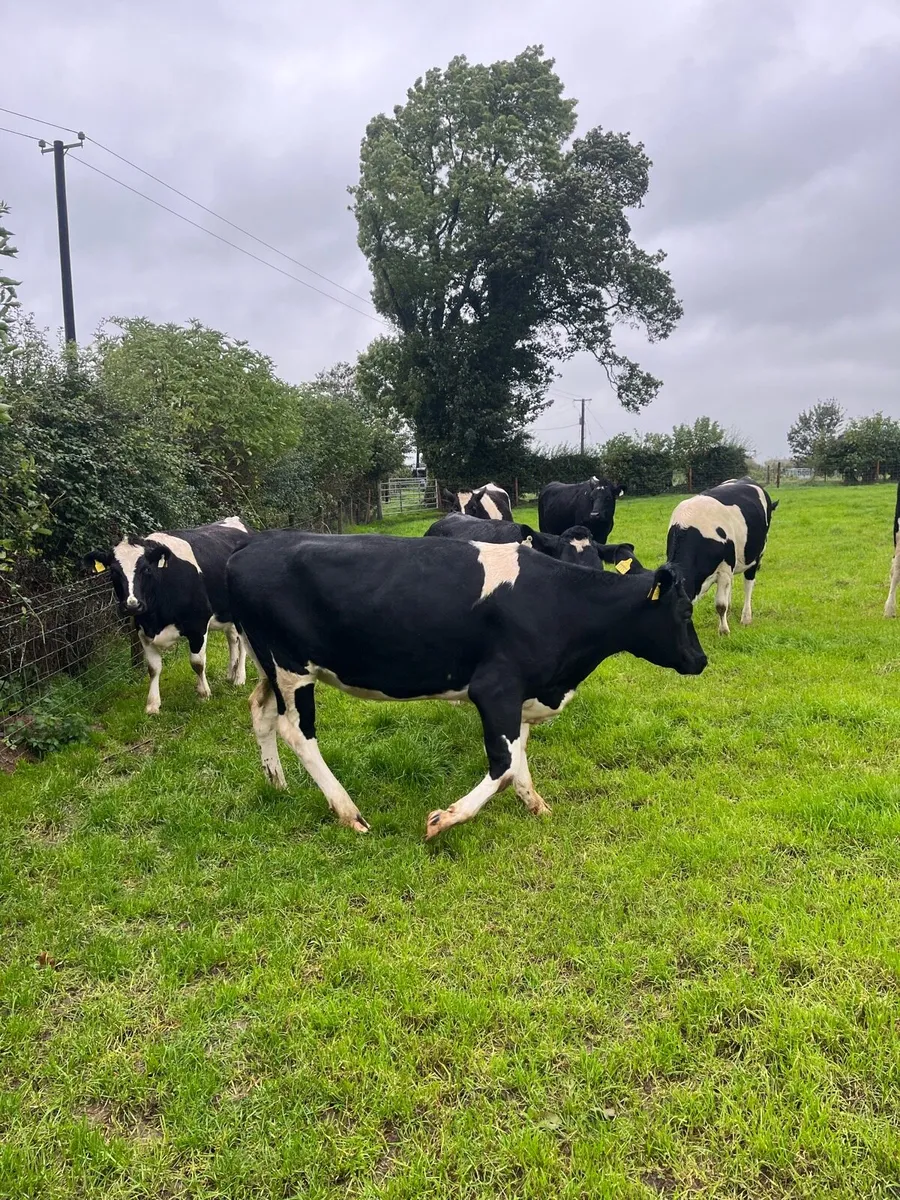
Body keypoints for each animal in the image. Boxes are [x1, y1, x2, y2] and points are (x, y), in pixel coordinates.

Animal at [85, 517, 252, 714]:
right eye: (113, 572)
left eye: (146, 569)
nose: (132, 605)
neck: (156, 619)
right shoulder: (142, 631)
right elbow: (153, 668)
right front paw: (152, 704)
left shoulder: (198, 625)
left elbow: (197, 663)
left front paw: (204, 694)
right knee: (232, 638)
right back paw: (230, 674)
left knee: (243, 642)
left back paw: (239, 678)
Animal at [227, 531, 707, 839]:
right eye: (684, 611)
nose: (700, 661)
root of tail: (249, 548)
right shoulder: (494, 688)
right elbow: (504, 763)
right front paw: (443, 820)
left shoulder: (521, 694)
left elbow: (518, 756)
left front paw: (537, 804)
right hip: (292, 669)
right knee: (296, 731)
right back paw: (349, 812)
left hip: (270, 666)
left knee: (261, 711)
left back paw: (277, 784)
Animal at [666, 478, 778, 636]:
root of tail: (746, 479)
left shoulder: (724, 569)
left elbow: (720, 605)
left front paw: (724, 631)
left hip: (756, 554)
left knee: (748, 584)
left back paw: (746, 618)